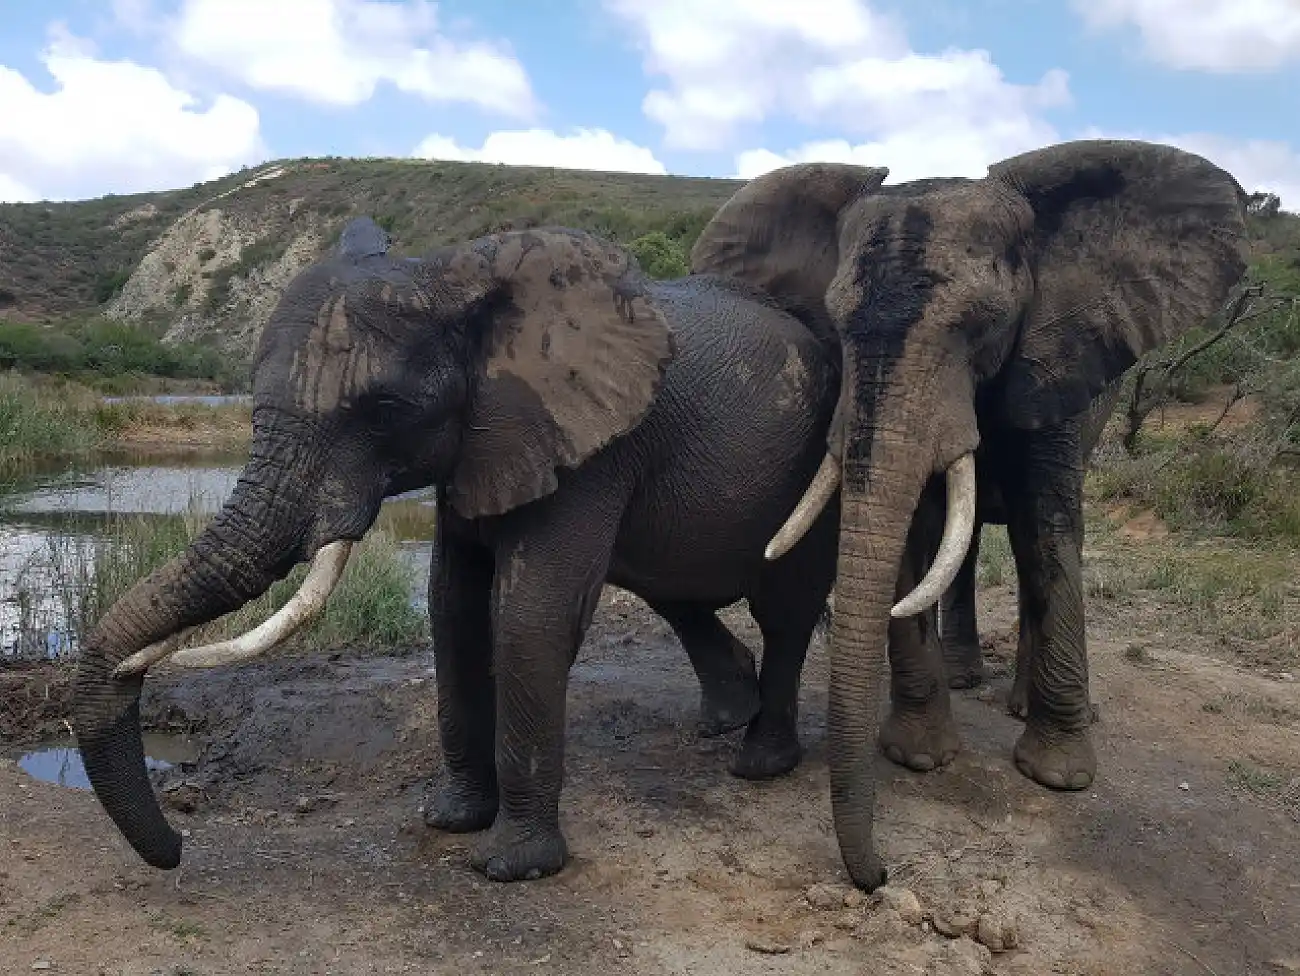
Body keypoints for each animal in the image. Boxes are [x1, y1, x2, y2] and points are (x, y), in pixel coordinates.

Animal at [72, 217, 845, 883]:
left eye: (383, 411)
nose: (178, 846)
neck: (446, 277)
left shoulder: (590, 445)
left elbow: (529, 615)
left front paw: (512, 866)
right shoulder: (482, 444)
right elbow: (452, 607)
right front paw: (450, 820)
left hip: (816, 466)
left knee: (785, 609)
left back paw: (760, 762)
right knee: (680, 595)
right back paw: (727, 718)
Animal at [689, 139, 1249, 889]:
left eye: (982, 323)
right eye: (835, 323)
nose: (881, 875)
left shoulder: (1052, 360)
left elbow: (1048, 532)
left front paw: (1058, 775)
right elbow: (913, 536)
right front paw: (919, 757)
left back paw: (1023, 703)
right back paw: (964, 677)